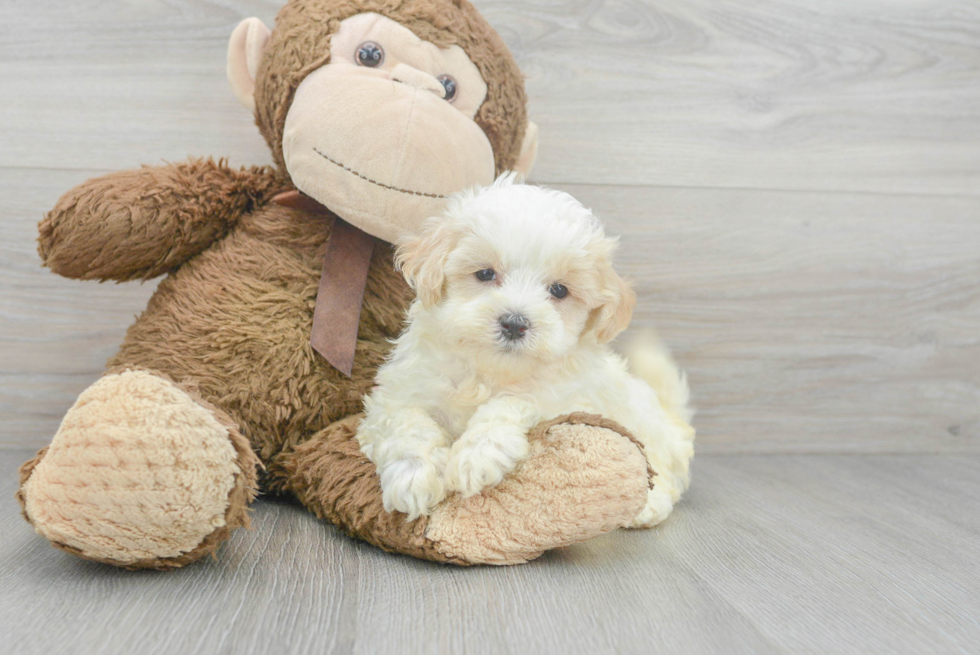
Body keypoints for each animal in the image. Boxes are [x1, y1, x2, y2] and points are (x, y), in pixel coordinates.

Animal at [356, 176, 692, 528]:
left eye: (559, 290)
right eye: (485, 273)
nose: (515, 324)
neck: (487, 371)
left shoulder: (565, 399)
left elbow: (514, 402)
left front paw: (478, 454)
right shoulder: (395, 396)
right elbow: (408, 421)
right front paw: (412, 476)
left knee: (663, 472)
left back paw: (650, 504)